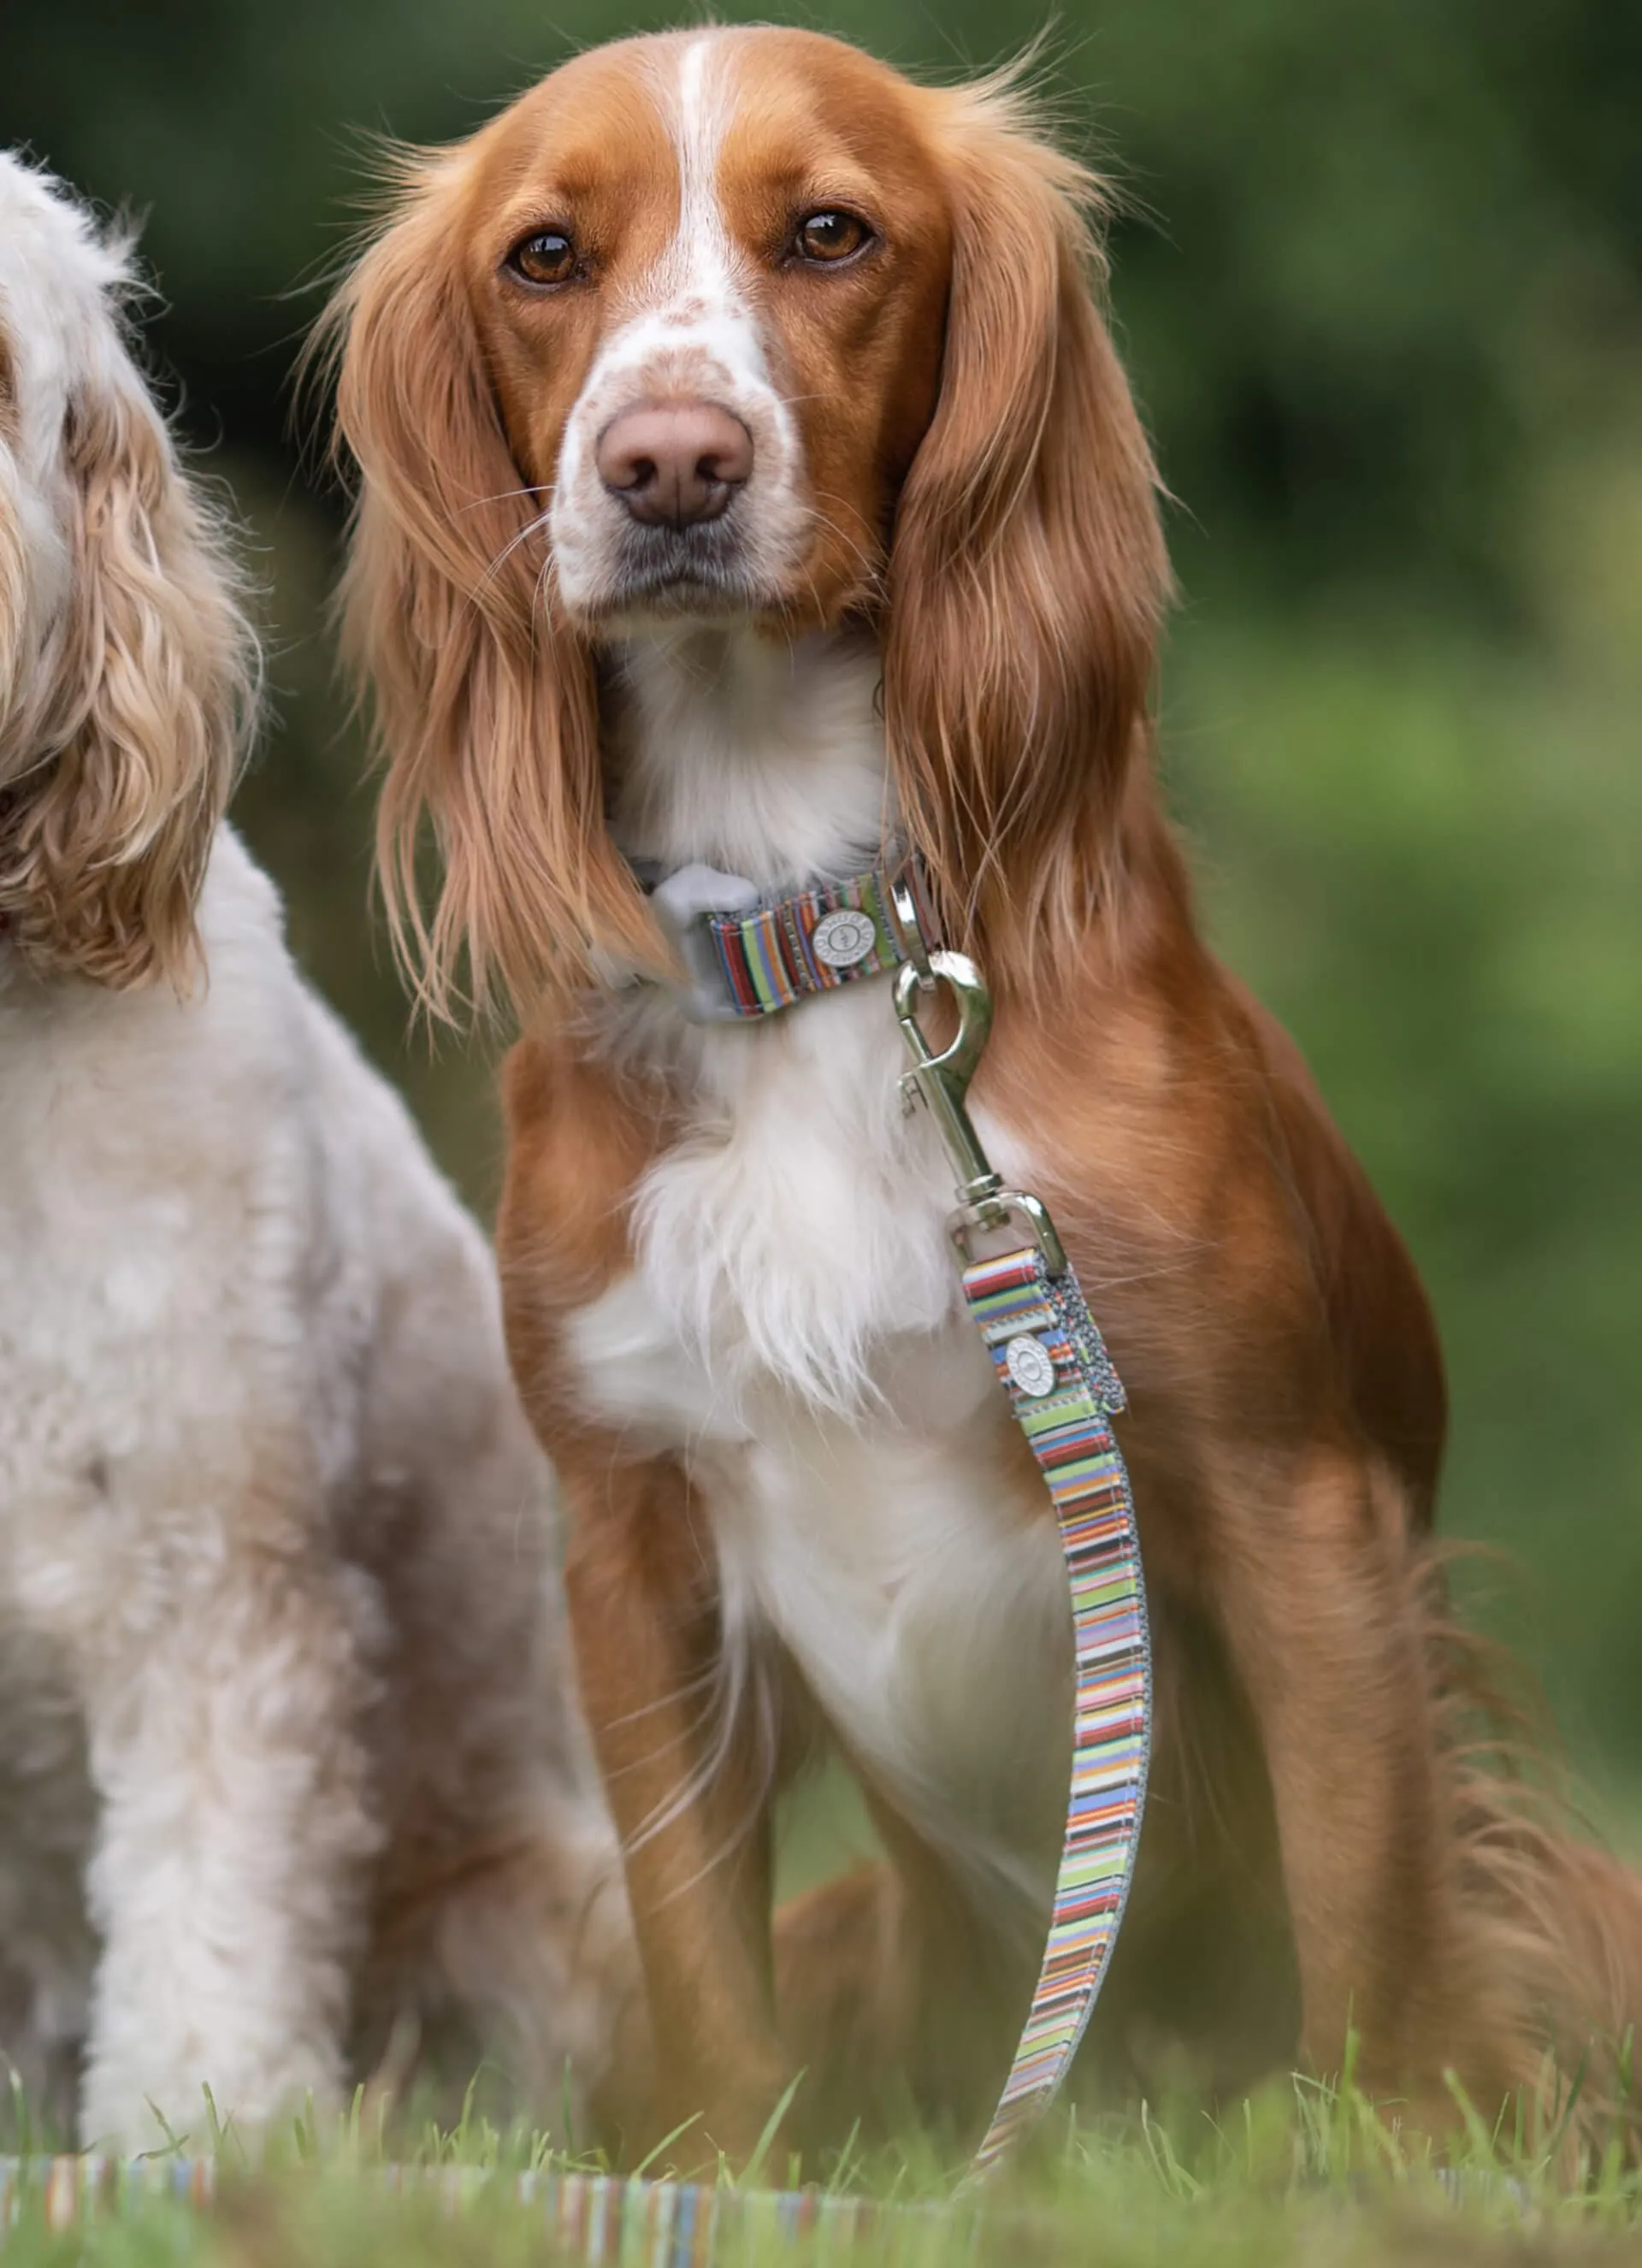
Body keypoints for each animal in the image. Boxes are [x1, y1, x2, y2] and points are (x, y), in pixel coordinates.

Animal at [326, 31, 1642, 2159]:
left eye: (831, 232)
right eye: (543, 255)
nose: (668, 464)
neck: (811, 932)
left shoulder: (1289, 1490)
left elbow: (1372, 1916)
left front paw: (1393, 2151)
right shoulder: (632, 1542)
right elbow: (703, 1972)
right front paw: (727, 2176)